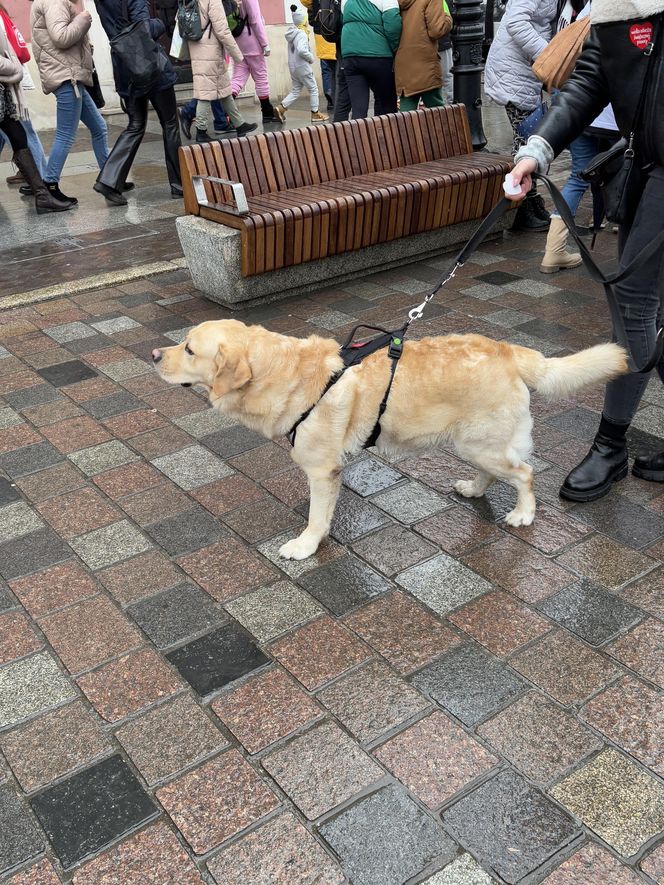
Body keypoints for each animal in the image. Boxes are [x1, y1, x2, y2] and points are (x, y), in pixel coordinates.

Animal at [152, 320, 628, 560]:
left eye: (190, 349)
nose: (155, 354)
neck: (287, 373)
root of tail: (512, 351)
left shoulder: (323, 470)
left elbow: (317, 517)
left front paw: (306, 546)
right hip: (474, 444)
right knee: (497, 474)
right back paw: (473, 489)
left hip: (483, 443)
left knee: (525, 473)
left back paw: (524, 513)